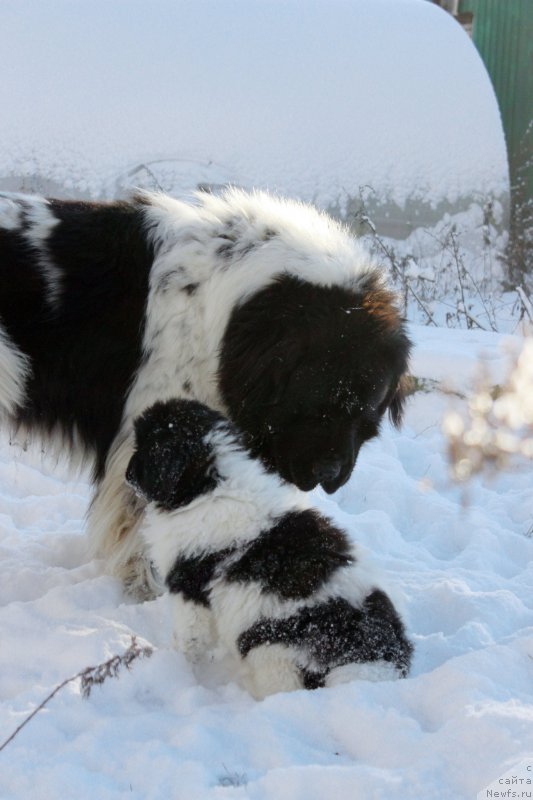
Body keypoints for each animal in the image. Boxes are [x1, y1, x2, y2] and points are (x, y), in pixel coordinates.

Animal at [125, 400, 412, 700]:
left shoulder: (190, 586)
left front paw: (174, 663)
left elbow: (189, 635)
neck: (210, 484)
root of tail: (374, 658)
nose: (126, 475)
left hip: (272, 650)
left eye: (144, 448)